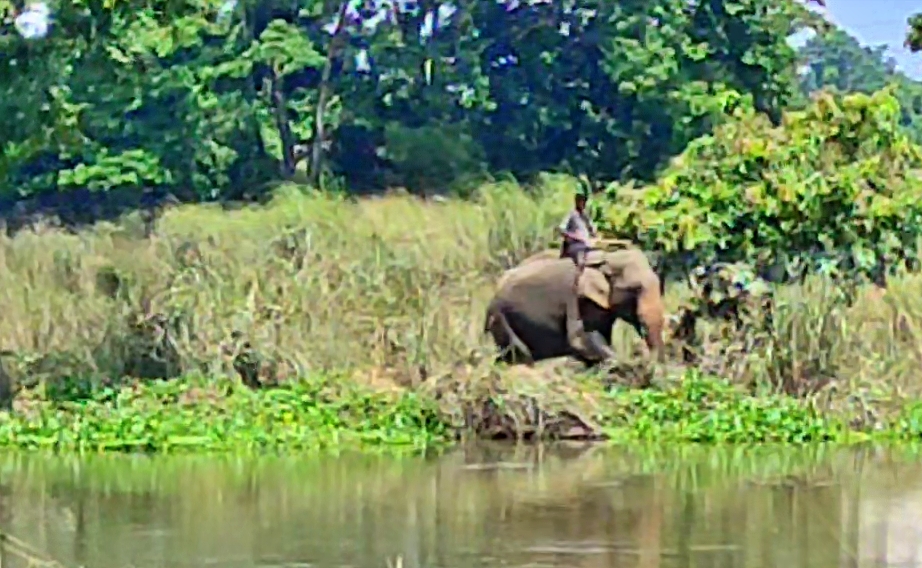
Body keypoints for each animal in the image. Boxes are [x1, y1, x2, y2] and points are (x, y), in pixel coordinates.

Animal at [482, 250, 660, 366]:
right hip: (500, 317)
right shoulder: (576, 299)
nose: (640, 350)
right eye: (635, 289)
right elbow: (579, 338)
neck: (608, 257)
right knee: (518, 353)